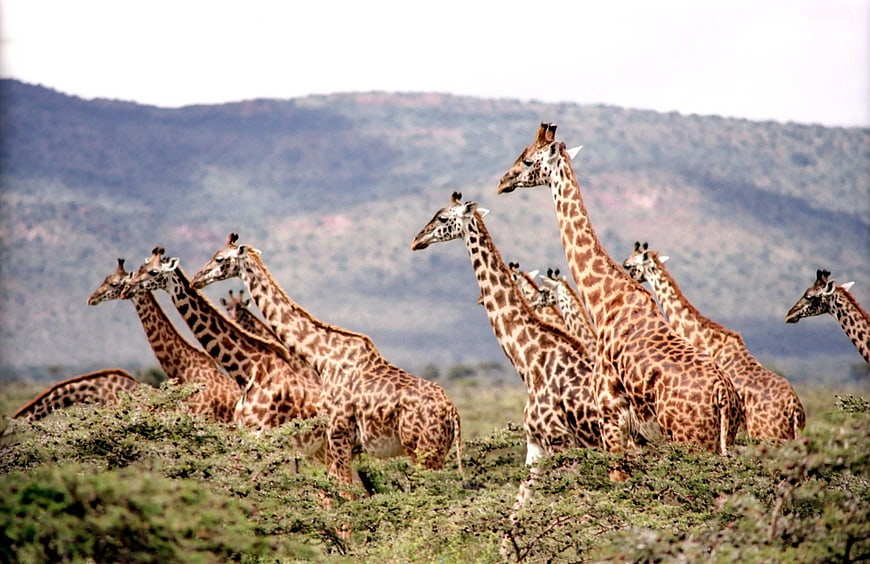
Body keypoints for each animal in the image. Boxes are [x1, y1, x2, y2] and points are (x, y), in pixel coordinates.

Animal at [121, 248, 325, 461]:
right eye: (139, 268)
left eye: (153, 271)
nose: (126, 289)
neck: (248, 371)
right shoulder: (243, 432)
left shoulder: (260, 433)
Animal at [190, 233, 462, 493]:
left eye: (220, 259)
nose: (196, 279)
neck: (324, 357)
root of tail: (453, 413)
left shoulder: (338, 434)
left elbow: (343, 491)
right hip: (435, 451)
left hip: (421, 449)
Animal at [497, 122, 742, 454]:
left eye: (527, 160)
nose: (502, 182)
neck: (605, 300)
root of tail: (723, 396)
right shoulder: (636, 433)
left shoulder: (610, 413)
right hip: (722, 441)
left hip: (689, 439)